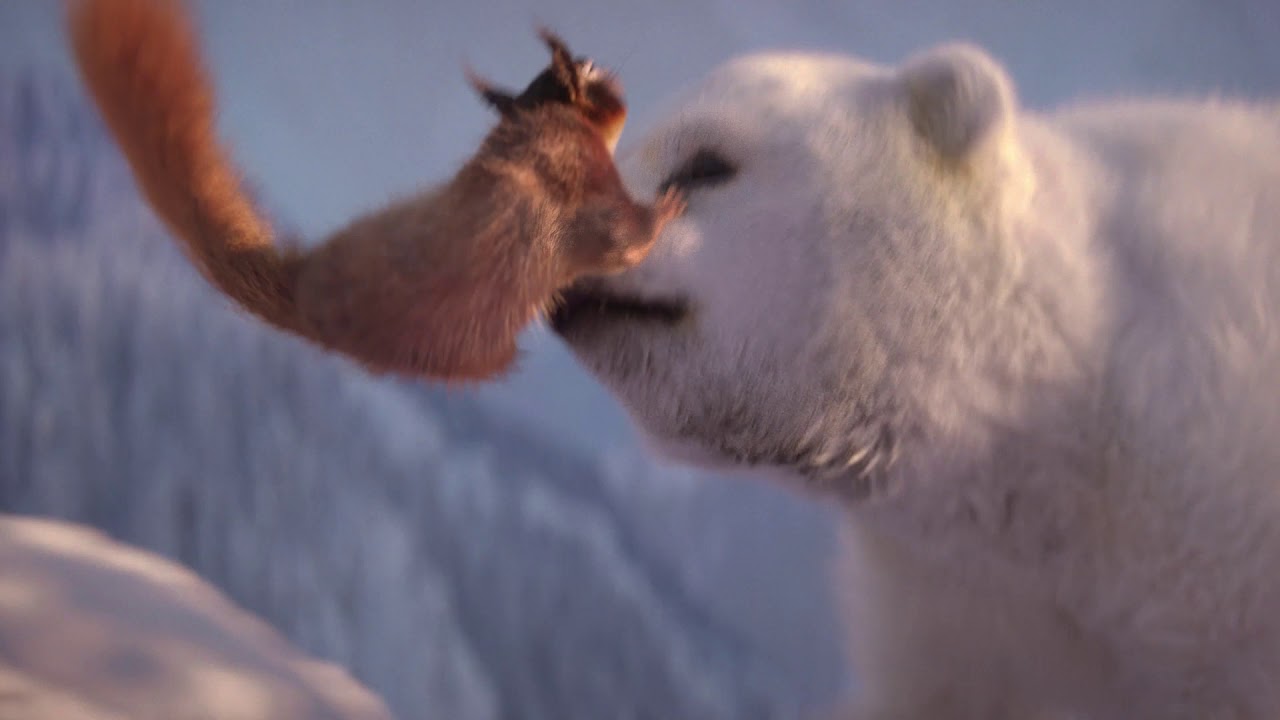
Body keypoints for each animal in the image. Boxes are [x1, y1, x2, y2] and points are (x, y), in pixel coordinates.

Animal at [67, 0, 683, 381]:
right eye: (589, 73)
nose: (598, 64)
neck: (550, 120)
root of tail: (299, 289)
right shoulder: (594, 206)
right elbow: (630, 235)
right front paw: (670, 204)